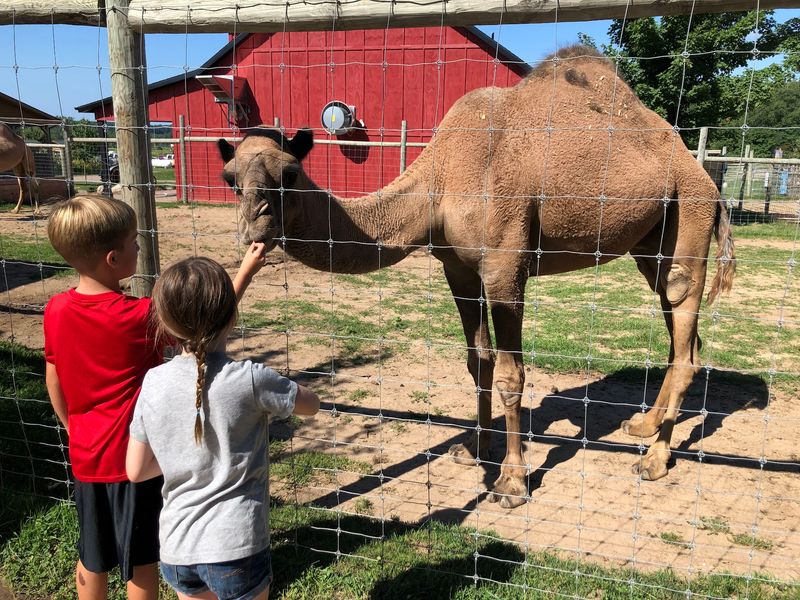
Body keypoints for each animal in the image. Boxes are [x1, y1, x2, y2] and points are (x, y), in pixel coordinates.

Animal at [218, 45, 735, 509]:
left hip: (688, 214)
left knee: (683, 321)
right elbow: (477, 361)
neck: (440, 179)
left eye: (289, 173)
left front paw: (511, 482)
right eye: (231, 178)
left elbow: (510, 374)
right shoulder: (459, 269)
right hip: (651, 244)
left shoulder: (505, 266)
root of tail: (709, 180)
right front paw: (473, 447)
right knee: (683, 335)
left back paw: (655, 460)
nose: (254, 223)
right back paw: (643, 426)